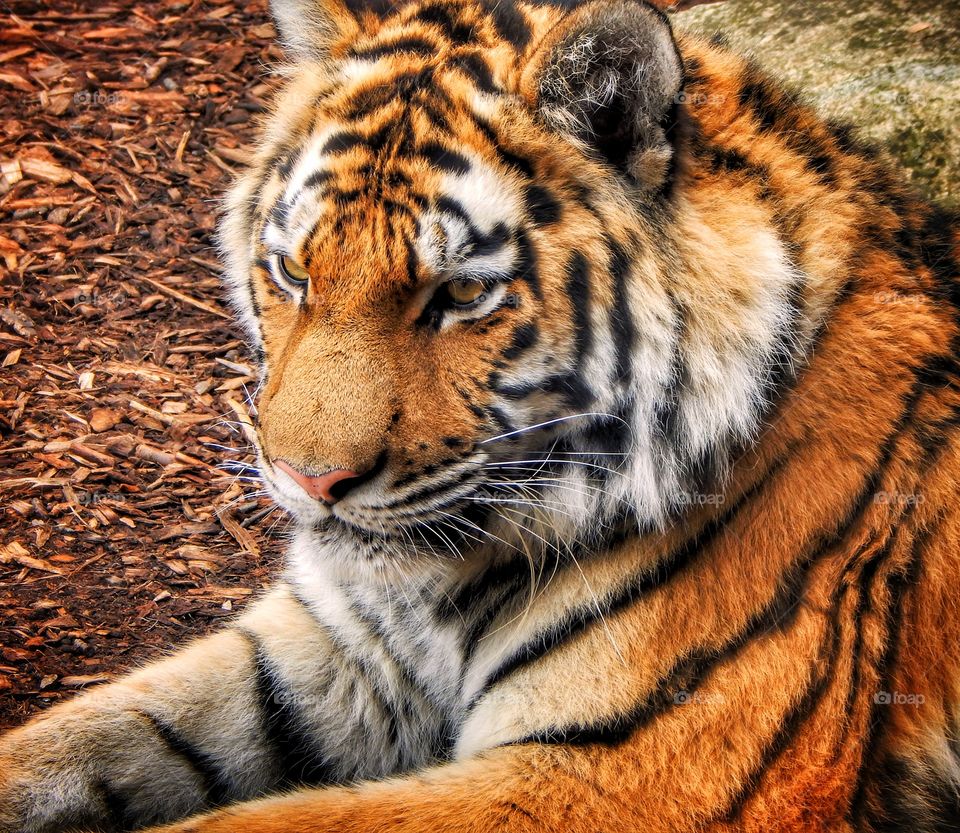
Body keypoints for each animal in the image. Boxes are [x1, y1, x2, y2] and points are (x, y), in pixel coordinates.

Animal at [2, 0, 959, 830]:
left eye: (461, 294)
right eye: (294, 272)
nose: (309, 481)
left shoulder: (629, 775)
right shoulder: (341, 645)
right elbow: (85, 737)